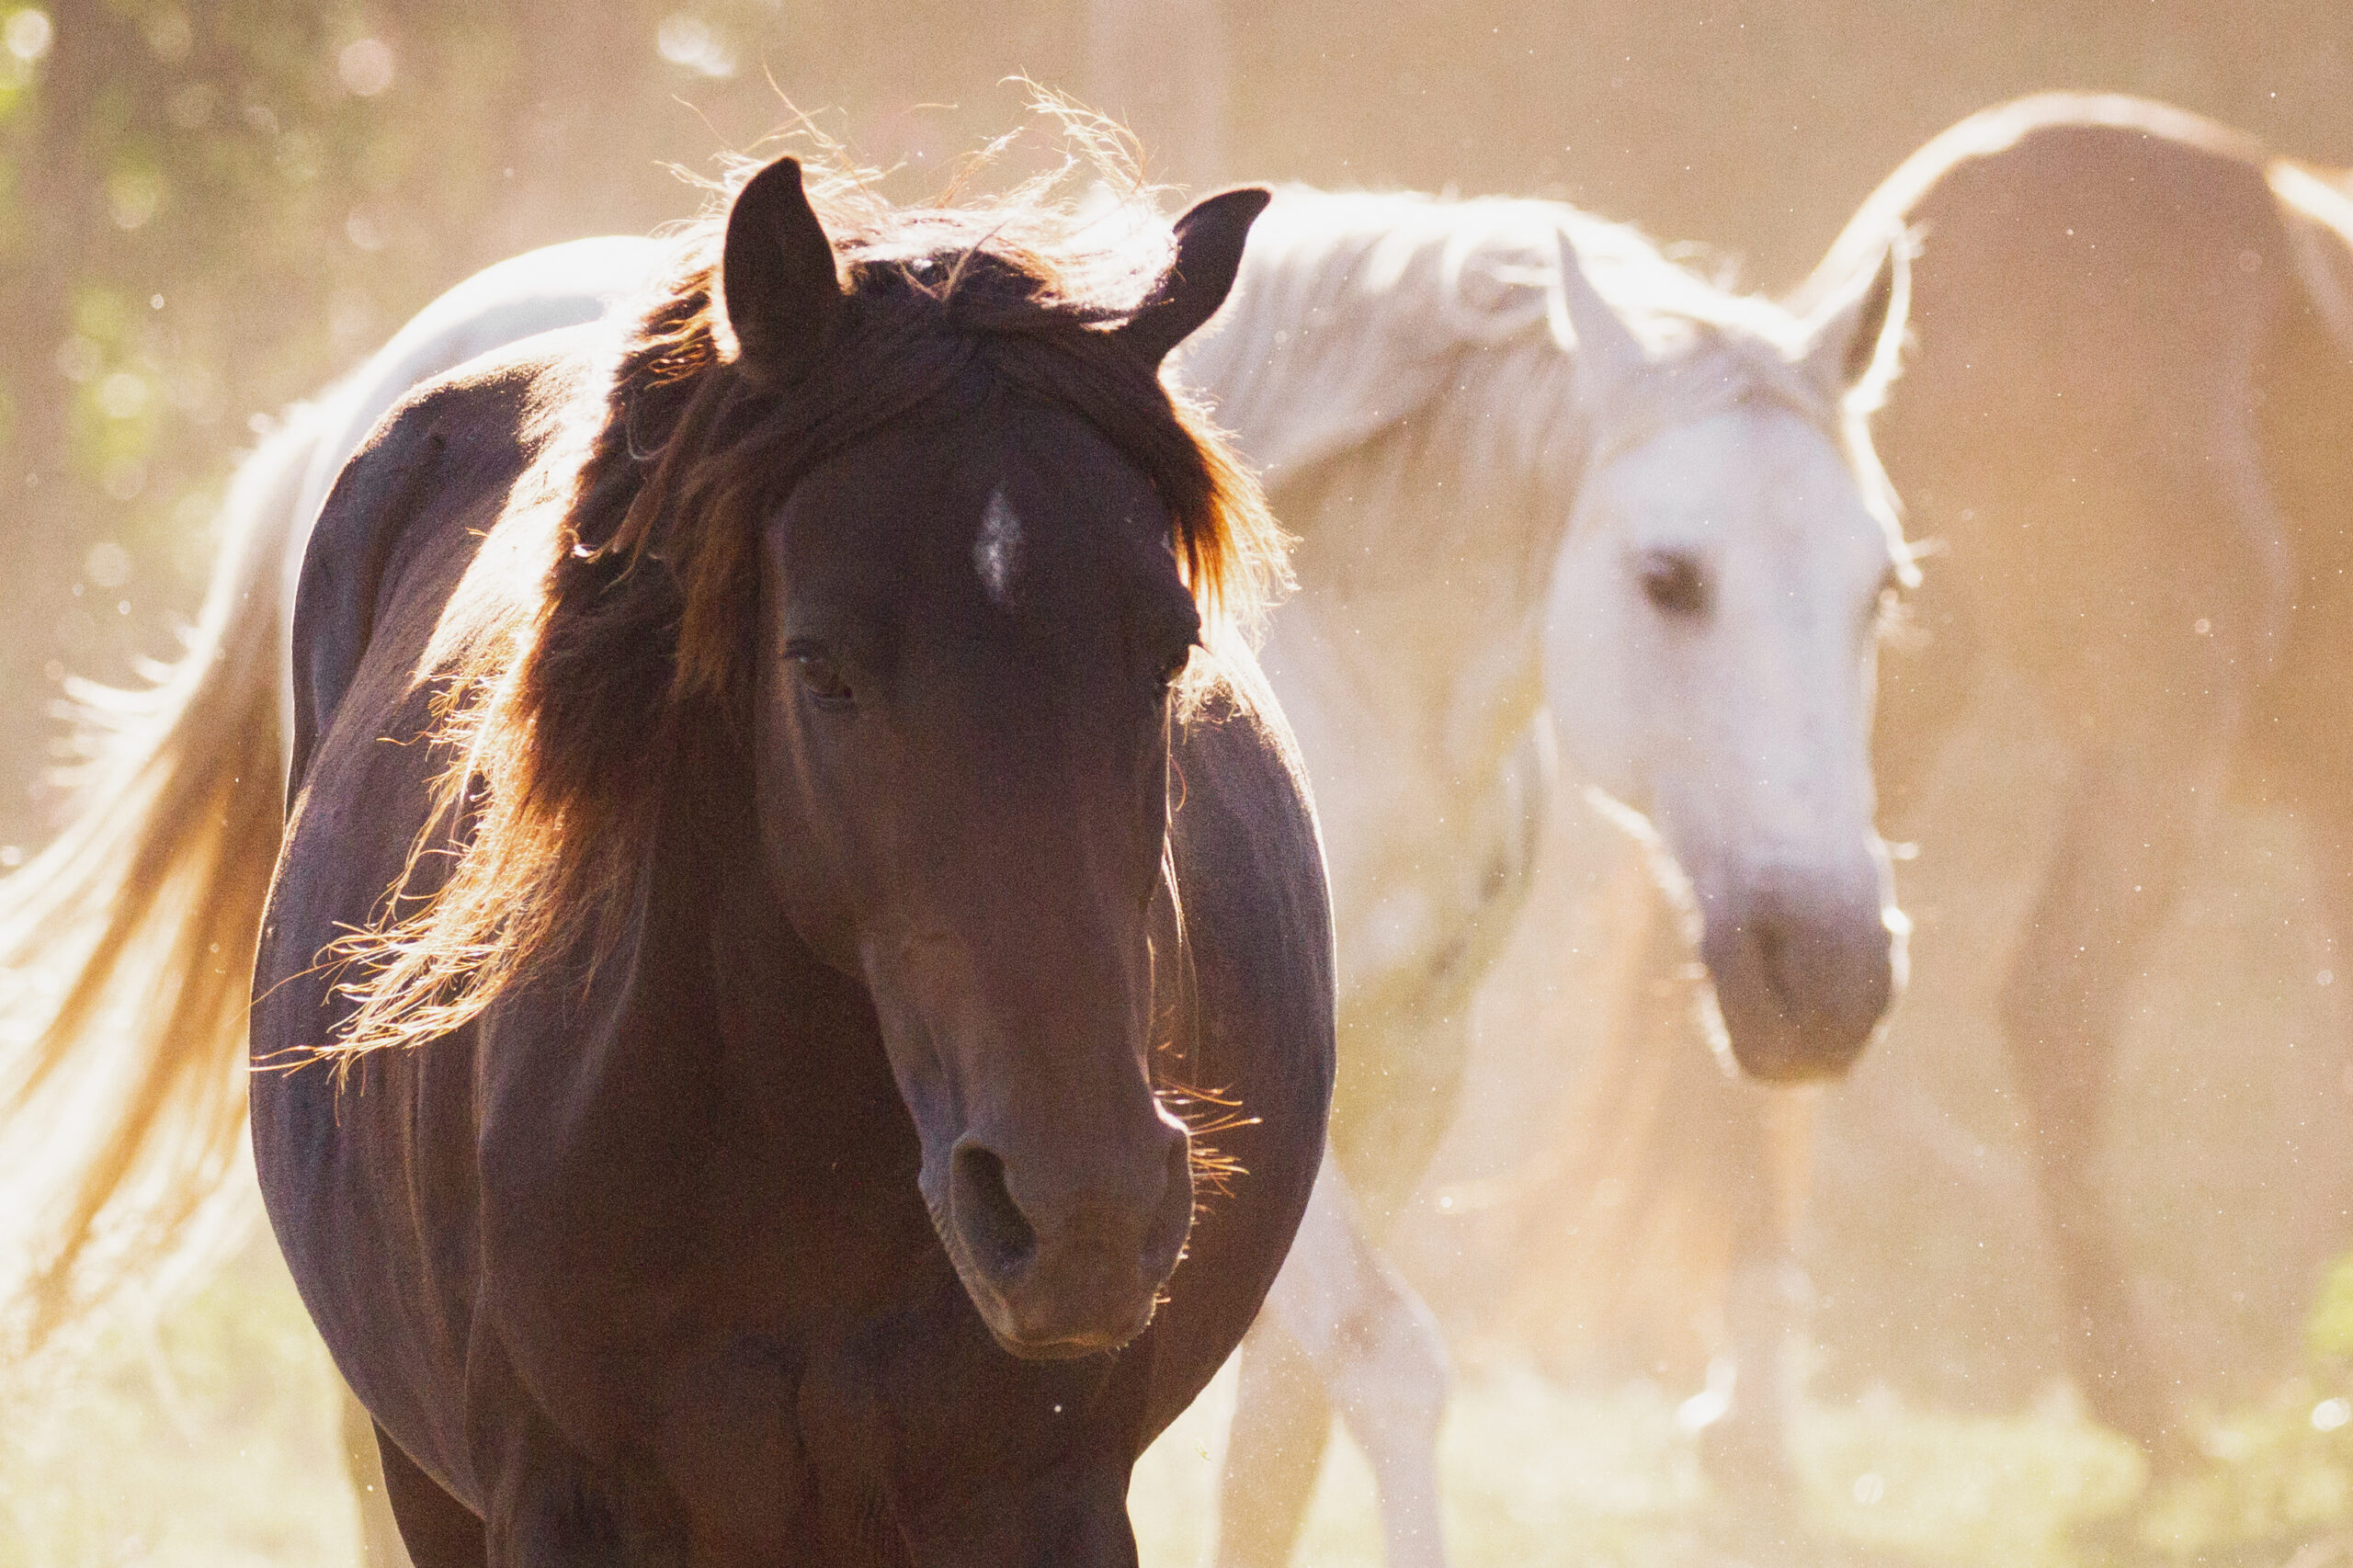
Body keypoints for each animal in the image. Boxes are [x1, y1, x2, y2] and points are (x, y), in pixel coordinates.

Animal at [1165, 187, 1913, 1567]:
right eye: (1668, 577)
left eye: (1880, 588)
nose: (1831, 976)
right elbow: (1389, 1359)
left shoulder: (1401, 1080)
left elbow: (1275, 1446)